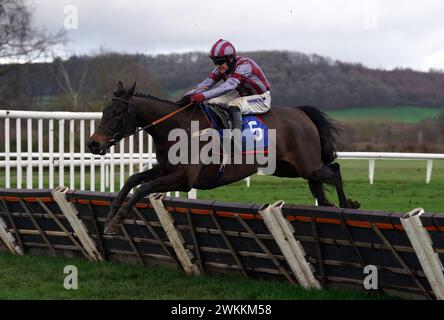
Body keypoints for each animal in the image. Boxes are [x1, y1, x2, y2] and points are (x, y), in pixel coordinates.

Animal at [87, 81, 360, 234]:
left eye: (118, 112)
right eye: (104, 110)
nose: (93, 143)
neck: (178, 127)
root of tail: (301, 113)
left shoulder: (185, 178)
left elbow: (144, 188)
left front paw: (116, 222)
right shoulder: (166, 169)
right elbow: (132, 180)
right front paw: (111, 212)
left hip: (306, 164)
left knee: (334, 169)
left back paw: (347, 204)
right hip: (287, 168)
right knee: (319, 179)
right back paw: (326, 204)